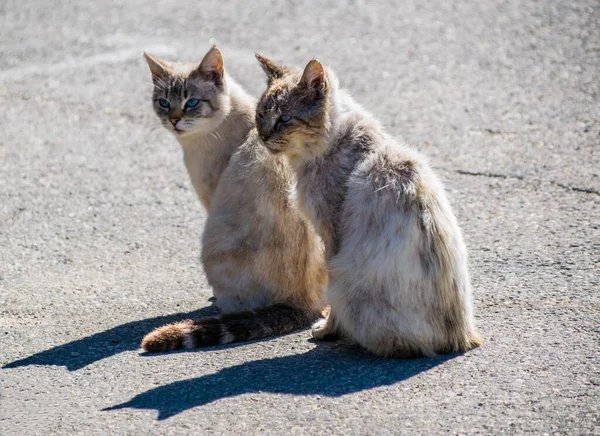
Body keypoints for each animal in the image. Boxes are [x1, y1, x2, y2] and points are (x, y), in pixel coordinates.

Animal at [253, 53, 482, 358]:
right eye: (260, 115)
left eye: (284, 119)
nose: (263, 136)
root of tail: (461, 339)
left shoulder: (331, 236)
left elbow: (331, 305)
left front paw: (326, 331)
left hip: (345, 277)